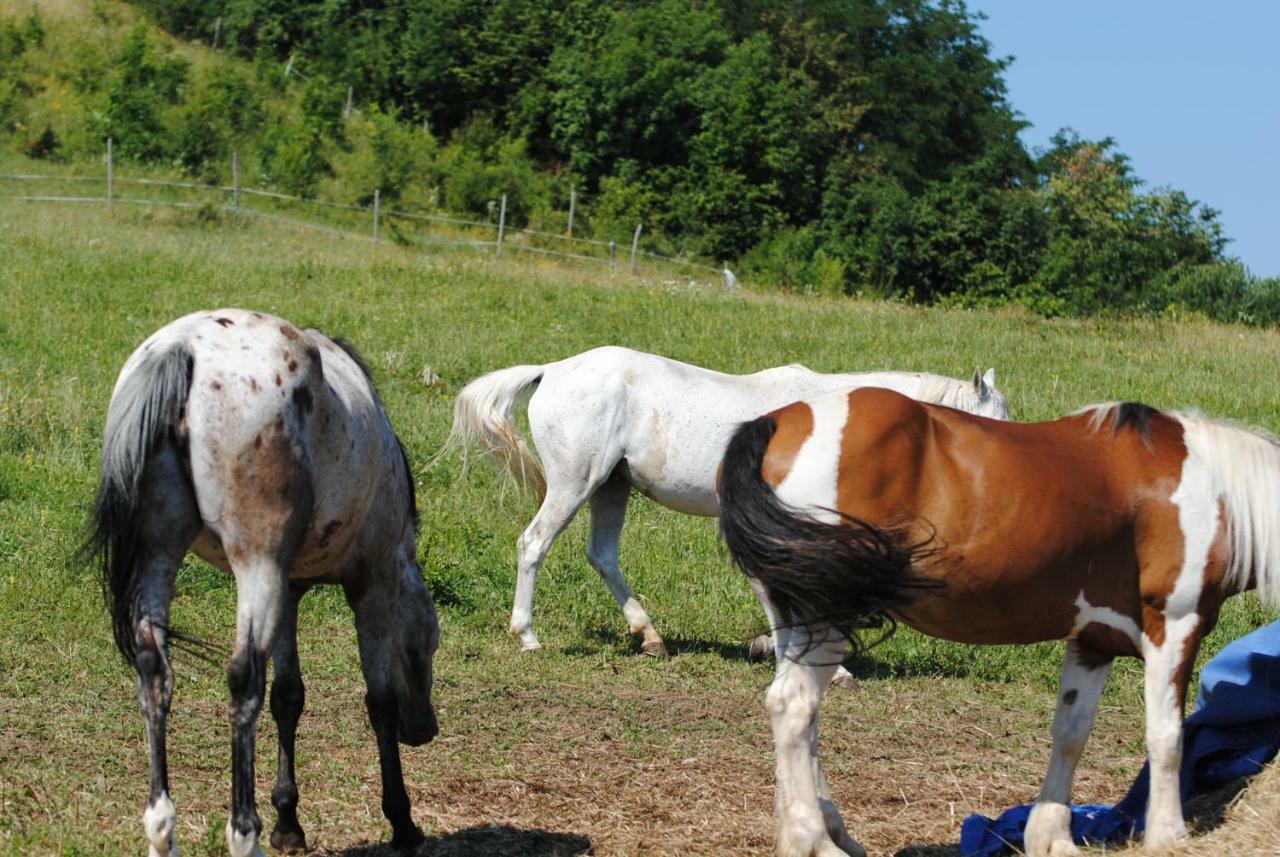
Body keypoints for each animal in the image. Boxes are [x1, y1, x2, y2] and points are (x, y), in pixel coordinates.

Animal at [86, 312, 440, 857]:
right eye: (428, 644)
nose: (424, 729)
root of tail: (183, 350)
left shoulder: (289, 591)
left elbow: (288, 697)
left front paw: (288, 822)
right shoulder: (373, 586)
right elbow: (377, 701)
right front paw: (401, 820)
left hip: (163, 555)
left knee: (154, 671)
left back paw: (162, 827)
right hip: (257, 566)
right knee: (243, 677)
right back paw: (242, 831)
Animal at [445, 345, 1003, 660]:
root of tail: (553, 371)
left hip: (610, 487)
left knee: (602, 556)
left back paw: (651, 637)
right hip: (574, 484)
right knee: (533, 544)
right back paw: (528, 637)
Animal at [721, 388, 1280, 857]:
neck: (1216, 490)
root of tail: (774, 422)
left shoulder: (1092, 641)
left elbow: (1071, 732)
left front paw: (1051, 836)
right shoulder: (1176, 625)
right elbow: (1166, 737)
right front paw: (1169, 834)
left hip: (795, 622)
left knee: (801, 718)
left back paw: (827, 830)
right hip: (828, 616)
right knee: (794, 708)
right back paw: (815, 842)